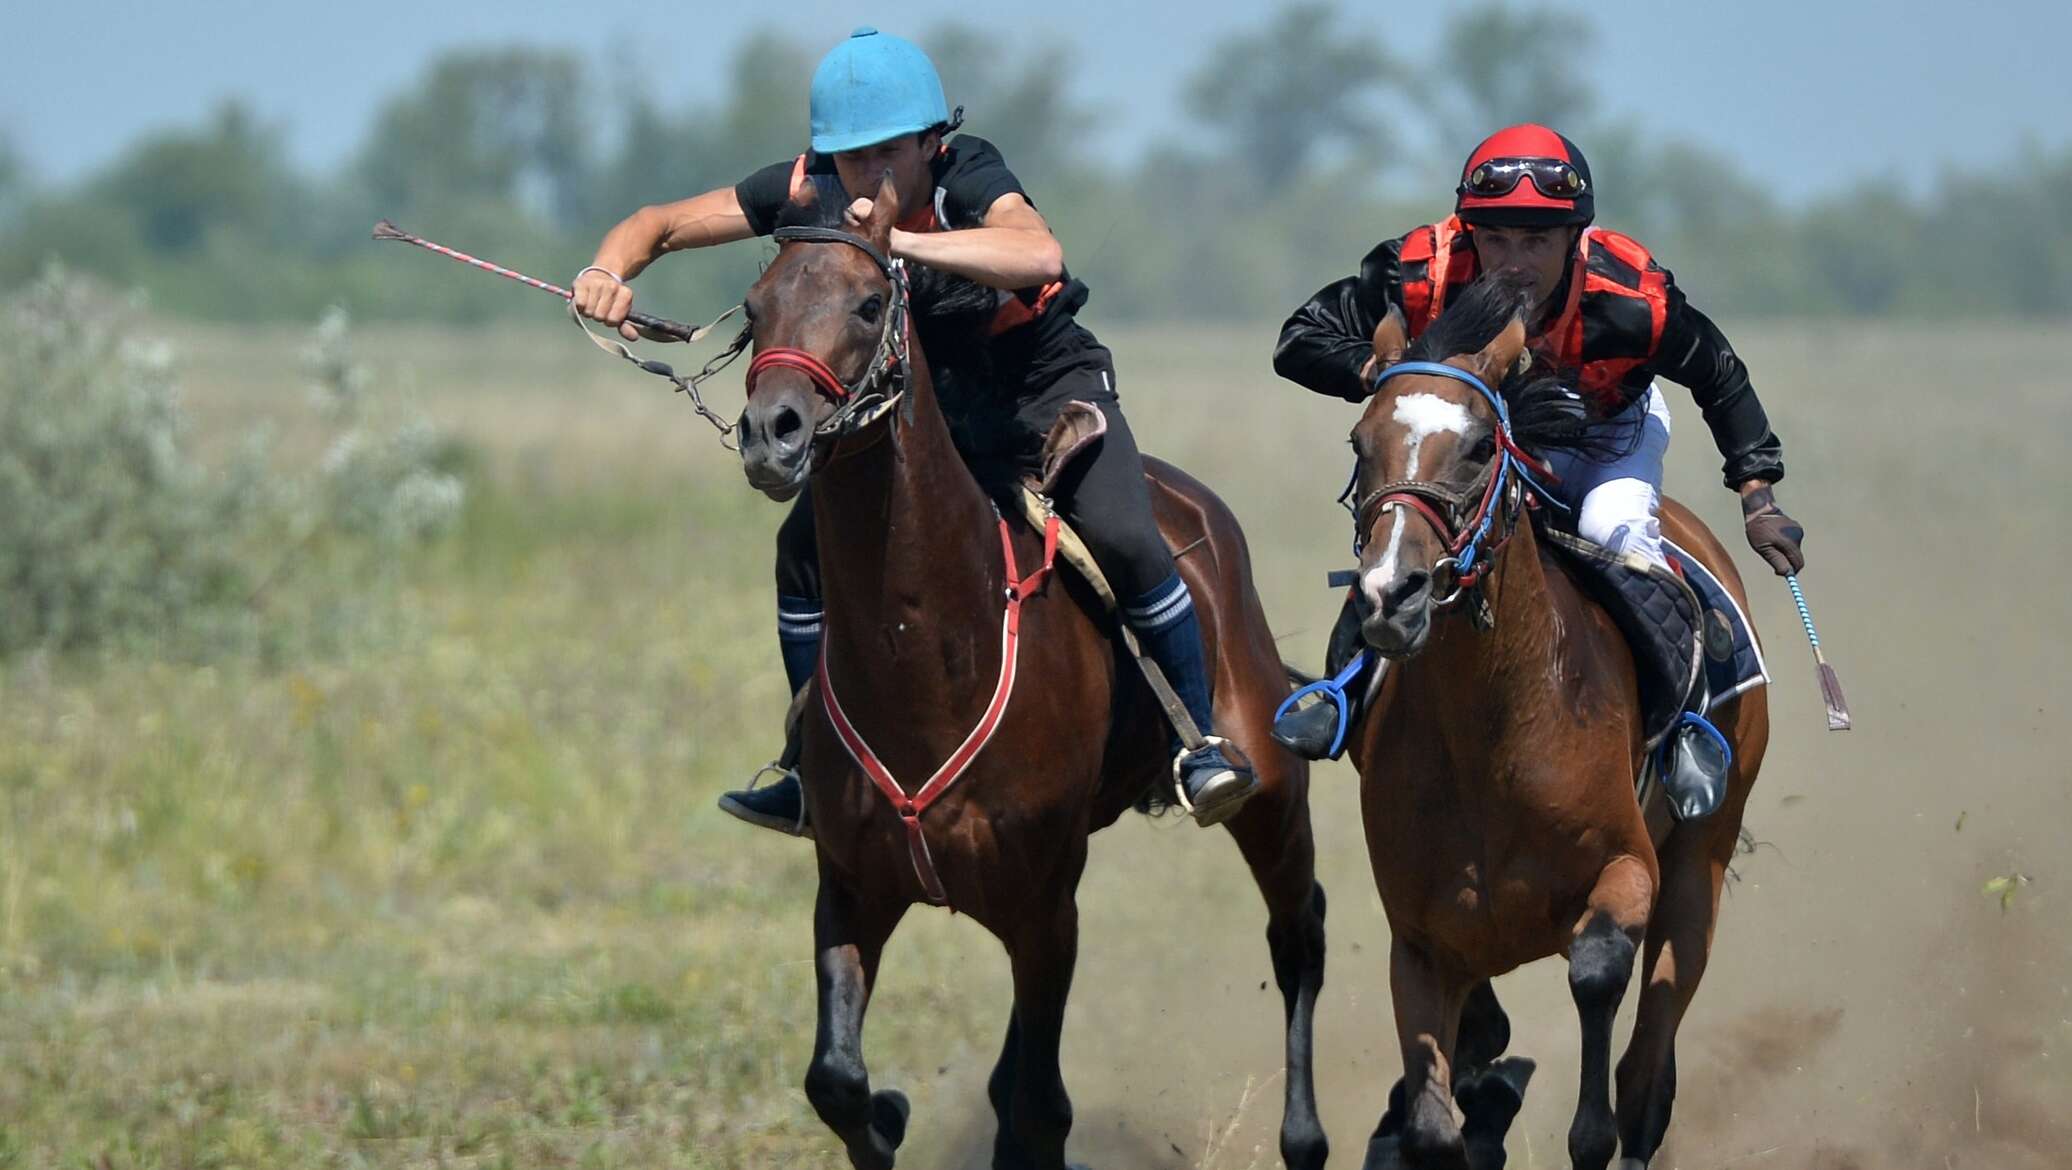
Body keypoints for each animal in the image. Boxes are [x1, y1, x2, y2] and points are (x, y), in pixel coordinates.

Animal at [737, 176, 1334, 1167]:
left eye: (868, 304)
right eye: (754, 309)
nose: (771, 434)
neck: (930, 654)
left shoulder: (1045, 909)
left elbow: (1043, 1110)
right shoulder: (855, 888)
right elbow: (839, 1082)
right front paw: (887, 1112)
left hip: (1270, 789)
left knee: (1300, 933)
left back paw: (1306, 1135)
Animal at [1342, 283, 1781, 1167]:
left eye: (1481, 447)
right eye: (1361, 442)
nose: (1389, 595)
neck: (1493, 736)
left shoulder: (1627, 869)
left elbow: (1597, 979)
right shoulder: (1420, 941)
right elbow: (1436, 1121)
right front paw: (1470, 1105)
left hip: (1700, 861)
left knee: (1647, 1068)